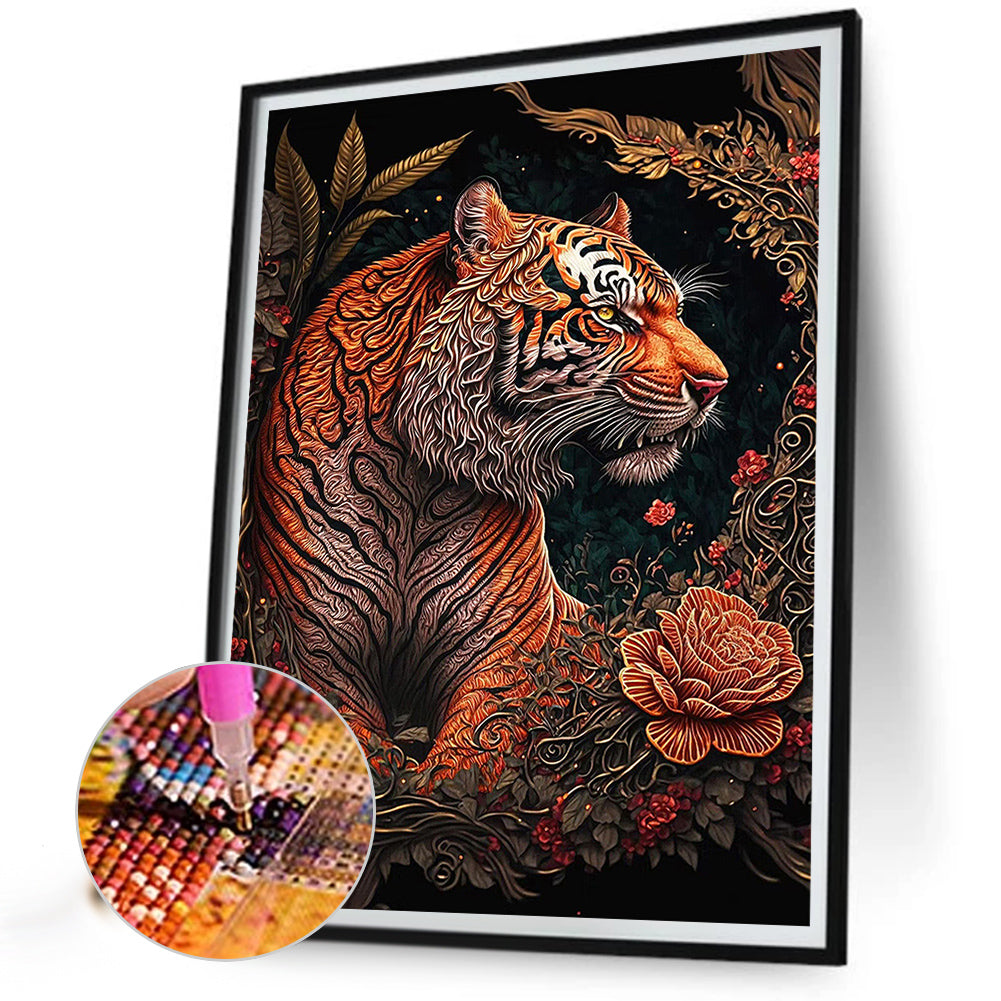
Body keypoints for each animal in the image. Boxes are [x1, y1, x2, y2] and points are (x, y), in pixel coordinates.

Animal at [249, 178, 728, 786]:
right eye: (612, 315)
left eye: (679, 312)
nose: (717, 385)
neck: (416, 481)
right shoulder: (317, 650)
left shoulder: (505, 660)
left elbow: (462, 770)